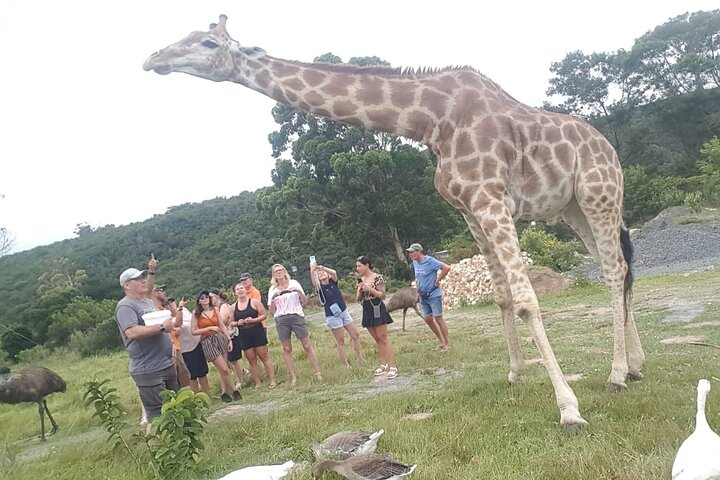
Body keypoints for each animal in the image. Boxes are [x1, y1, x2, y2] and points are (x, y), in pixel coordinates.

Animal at [143, 15, 645, 432]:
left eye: (207, 42)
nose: (153, 58)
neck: (431, 121)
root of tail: (610, 149)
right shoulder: (470, 209)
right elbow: (503, 296)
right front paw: (515, 373)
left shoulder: (489, 197)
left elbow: (525, 301)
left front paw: (569, 409)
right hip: (573, 207)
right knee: (615, 268)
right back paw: (635, 366)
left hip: (600, 194)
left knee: (614, 269)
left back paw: (617, 374)